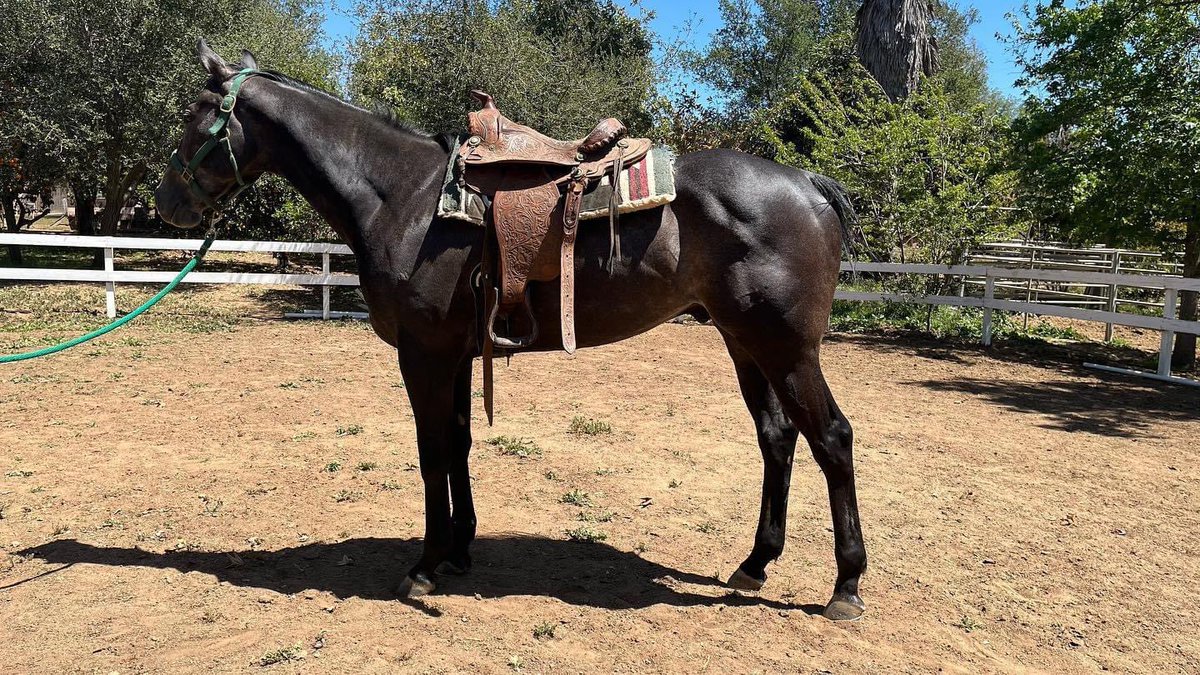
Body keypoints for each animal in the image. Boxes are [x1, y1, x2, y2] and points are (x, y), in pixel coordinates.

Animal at [154, 40, 868, 622]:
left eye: (197, 119)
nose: (166, 204)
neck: (401, 197)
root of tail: (808, 183)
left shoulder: (423, 354)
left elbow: (432, 451)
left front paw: (425, 565)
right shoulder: (456, 354)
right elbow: (460, 444)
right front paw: (458, 551)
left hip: (786, 348)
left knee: (831, 437)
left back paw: (846, 587)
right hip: (744, 342)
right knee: (778, 438)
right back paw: (755, 564)